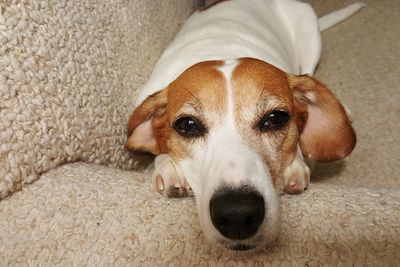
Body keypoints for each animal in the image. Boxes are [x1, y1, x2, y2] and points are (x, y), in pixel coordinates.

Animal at [125, 0, 362, 251]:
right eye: (187, 124)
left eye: (275, 118)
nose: (237, 214)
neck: (222, 50)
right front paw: (168, 166)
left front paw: (294, 164)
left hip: (309, 33)